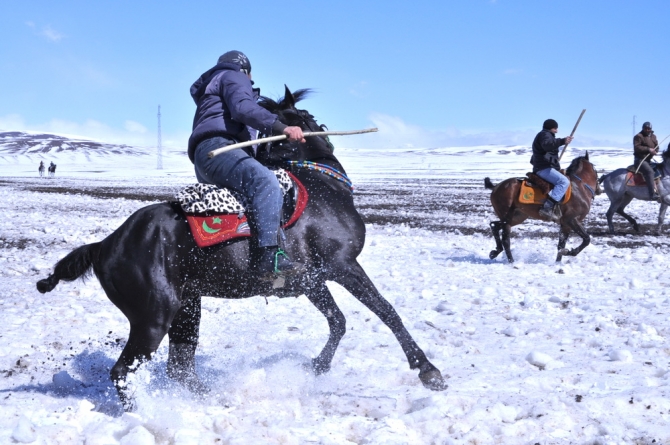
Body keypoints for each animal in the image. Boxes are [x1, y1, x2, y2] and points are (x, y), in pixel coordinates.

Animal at [35, 86, 446, 410]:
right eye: (307, 117)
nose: (325, 135)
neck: (322, 188)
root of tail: (106, 244)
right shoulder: (343, 266)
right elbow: (388, 313)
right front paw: (428, 371)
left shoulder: (312, 281)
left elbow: (338, 321)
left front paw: (317, 366)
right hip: (153, 317)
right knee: (124, 370)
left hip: (187, 308)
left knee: (180, 367)